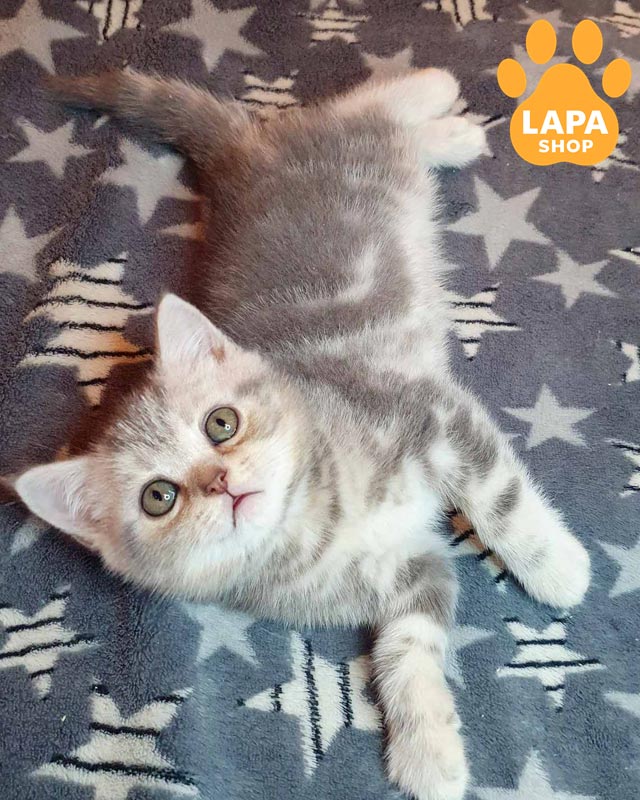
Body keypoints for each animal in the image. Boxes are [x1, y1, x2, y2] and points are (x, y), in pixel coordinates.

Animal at [13, 68, 590, 800]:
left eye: (221, 424)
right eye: (158, 497)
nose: (222, 483)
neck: (324, 513)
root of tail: (242, 155)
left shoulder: (428, 411)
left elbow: (502, 502)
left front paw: (557, 567)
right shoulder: (406, 572)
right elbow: (408, 646)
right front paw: (427, 749)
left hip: (341, 147)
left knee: (357, 110)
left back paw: (437, 100)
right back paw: (449, 130)